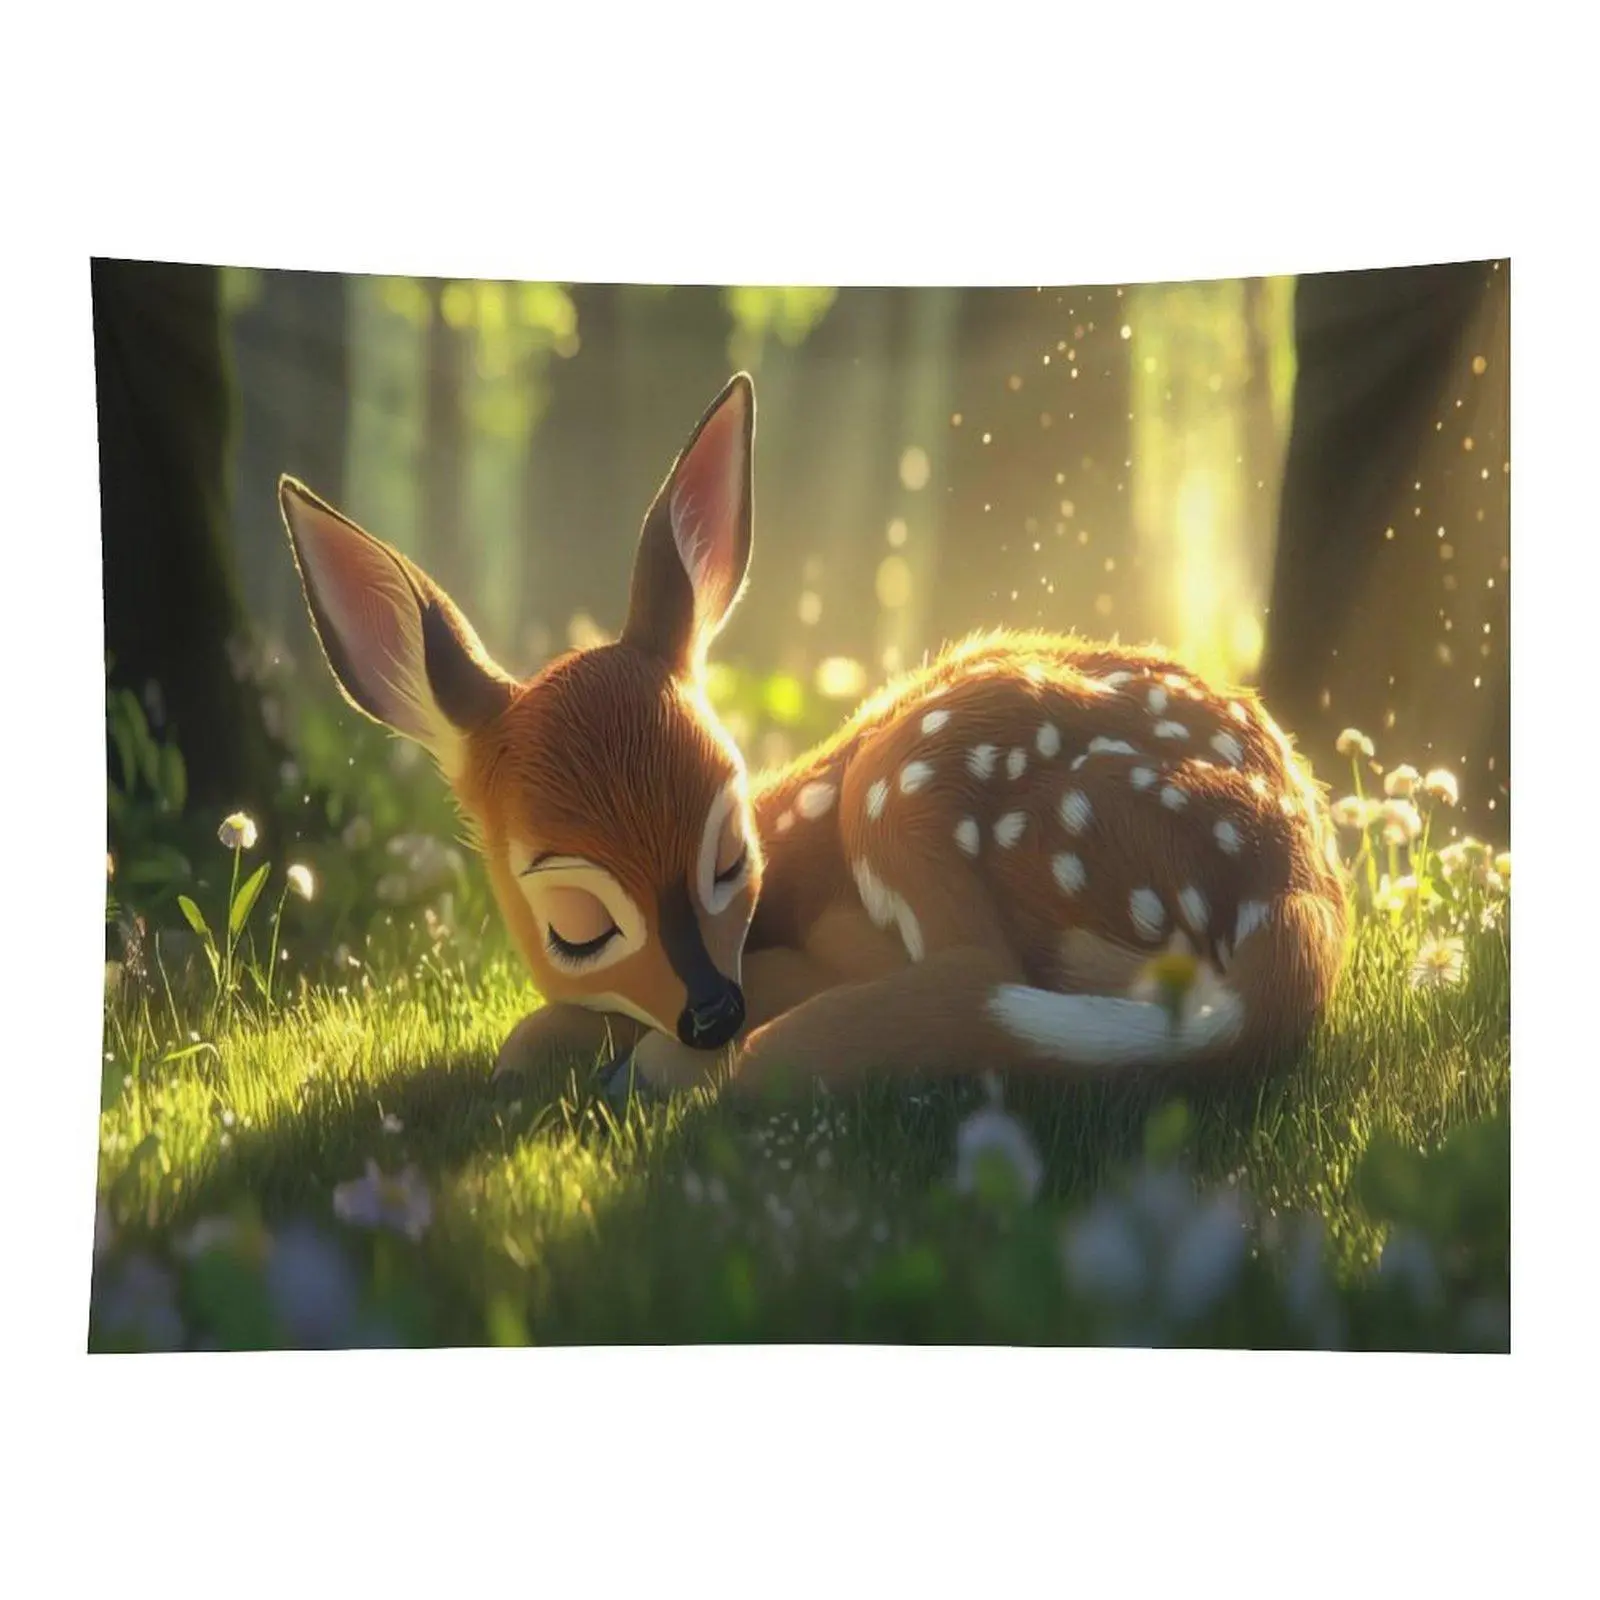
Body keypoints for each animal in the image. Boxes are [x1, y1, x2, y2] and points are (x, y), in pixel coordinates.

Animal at [278, 372, 1348, 1100]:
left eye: (730, 855)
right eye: (573, 923)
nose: (714, 1013)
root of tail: (1299, 886)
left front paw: (651, 1058)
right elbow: (543, 1027)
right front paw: (570, 1044)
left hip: (915, 779)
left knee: (978, 975)